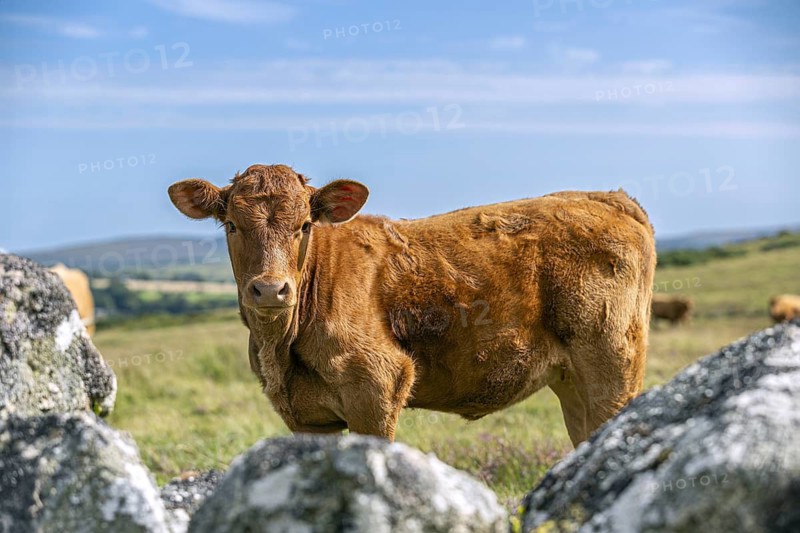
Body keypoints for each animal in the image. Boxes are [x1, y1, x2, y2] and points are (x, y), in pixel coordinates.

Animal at [168, 164, 656, 446]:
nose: (271, 290)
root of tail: (605, 197)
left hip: (612, 361)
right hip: (572, 379)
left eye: (304, 224)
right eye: (232, 224)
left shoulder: (377, 384)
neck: (280, 350)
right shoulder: (308, 418)